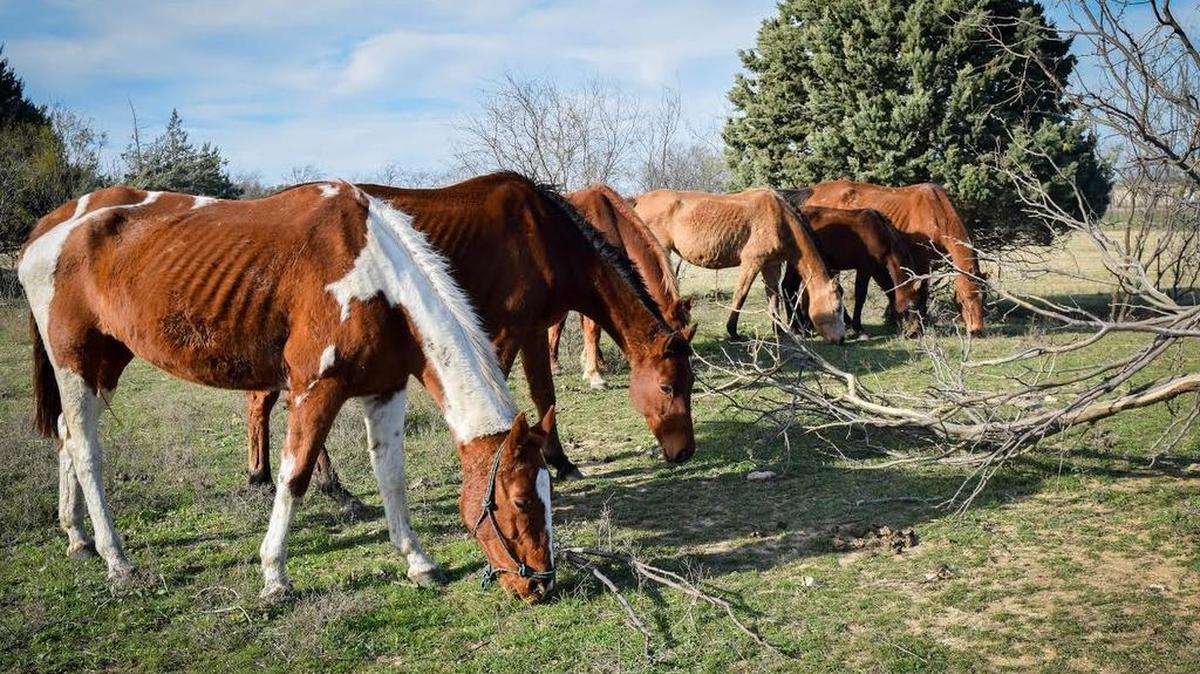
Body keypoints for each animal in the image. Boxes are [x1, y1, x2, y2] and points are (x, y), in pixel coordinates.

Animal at [20, 182, 556, 603]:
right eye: (520, 501)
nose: (539, 584)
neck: (379, 279)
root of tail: (43, 233)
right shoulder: (315, 390)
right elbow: (294, 477)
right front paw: (274, 576)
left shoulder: (385, 390)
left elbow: (391, 477)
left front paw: (419, 562)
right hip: (75, 362)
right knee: (86, 452)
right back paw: (117, 561)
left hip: (106, 363)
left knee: (67, 435)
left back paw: (77, 537)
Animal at [630, 188, 845, 343]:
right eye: (836, 309)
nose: (841, 339)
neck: (778, 217)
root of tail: (639, 199)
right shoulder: (752, 262)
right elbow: (740, 295)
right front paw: (732, 332)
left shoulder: (771, 265)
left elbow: (773, 297)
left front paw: (779, 332)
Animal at [774, 199, 921, 336]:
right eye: (912, 306)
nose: (914, 332)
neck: (880, 232)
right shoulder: (866, 268)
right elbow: (860, 296)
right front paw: (858, 328)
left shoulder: (878, 269)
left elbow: (890, 292)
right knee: (788, 287)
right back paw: (795, 327)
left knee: (790, 288)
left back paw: (800, 326)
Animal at [796, 181, 985, 334]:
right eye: (965, 298)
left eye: (983, 297)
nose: (976, 330)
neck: (934, 210)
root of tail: (813, 190)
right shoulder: (920, 259)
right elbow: (921, 289)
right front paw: (920, 321)